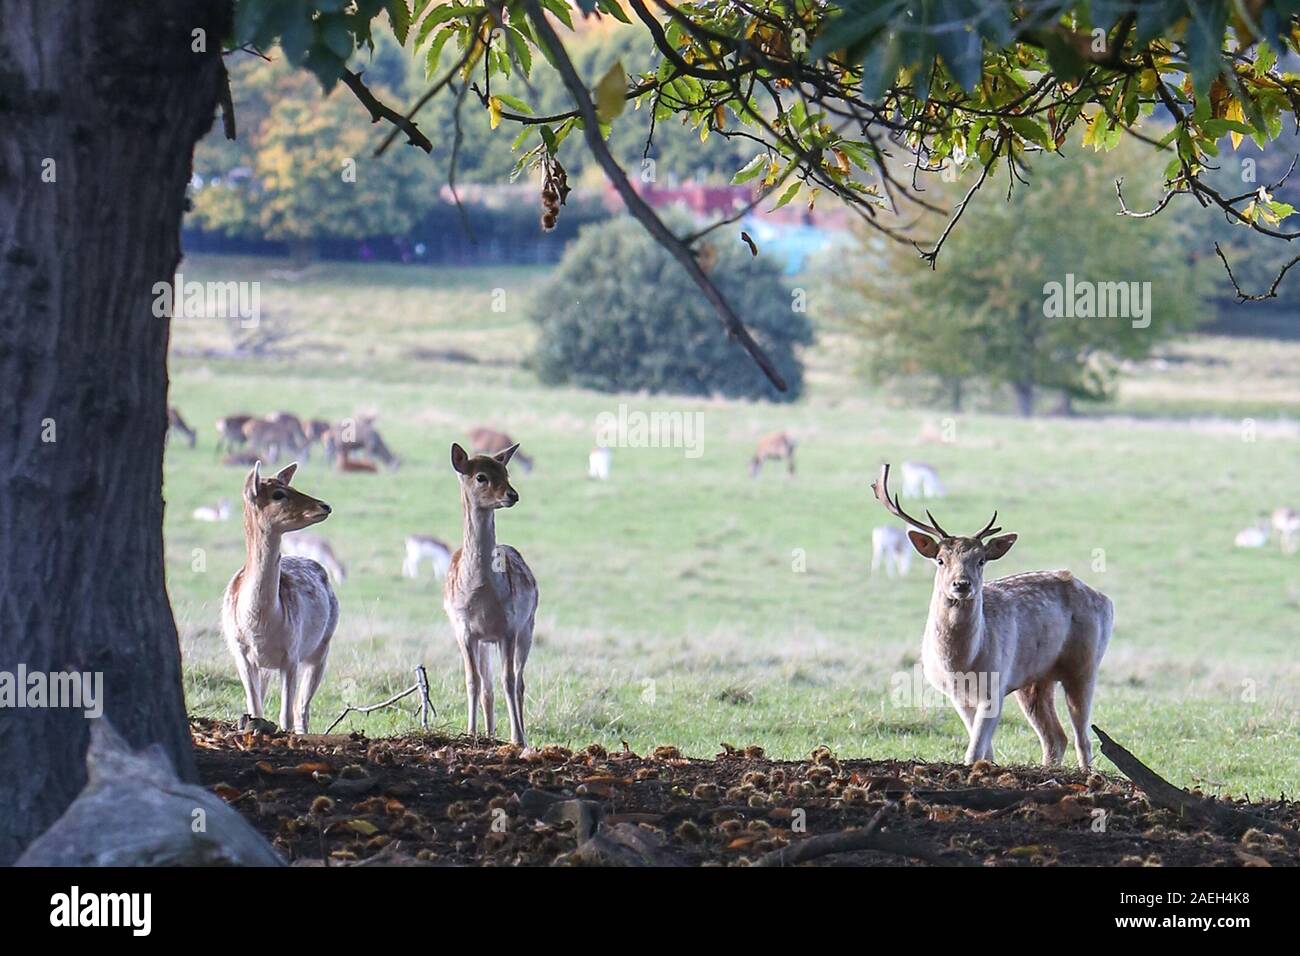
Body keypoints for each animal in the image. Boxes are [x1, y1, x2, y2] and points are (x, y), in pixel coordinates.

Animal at [221, 461, 338, 734]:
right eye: (278, 494)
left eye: (291, 486)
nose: (325, 506)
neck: (259, 623)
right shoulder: (240, 652)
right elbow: (254, 707)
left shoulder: (291, 654)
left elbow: (286, 715)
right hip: (266, 666)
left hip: (322, 647)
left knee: (301, 709)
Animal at [444, 442, 539, 747]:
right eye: (481, 477)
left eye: (506, 472)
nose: (512, 494)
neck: (480, 592)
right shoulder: (464, 629)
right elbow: (472, 681)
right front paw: (471, 733)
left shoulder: (508, 627)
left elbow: (508, 679)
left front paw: (517, 738)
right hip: (485, 641)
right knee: (487, 685)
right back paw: (488, 733)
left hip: (528, 626)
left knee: (519, 681)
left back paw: (518, 733)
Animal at [872, 463, 1113, 769]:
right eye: (940, 559)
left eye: (981, 560)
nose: (962, 585)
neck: (961, 664)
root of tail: (1106, 600)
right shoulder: (957, 695)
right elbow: (984, 751)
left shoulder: (995, 686)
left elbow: (973, 751)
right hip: (1035, 679)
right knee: (1055, 737)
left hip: (1084, 663)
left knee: (1083, 737)